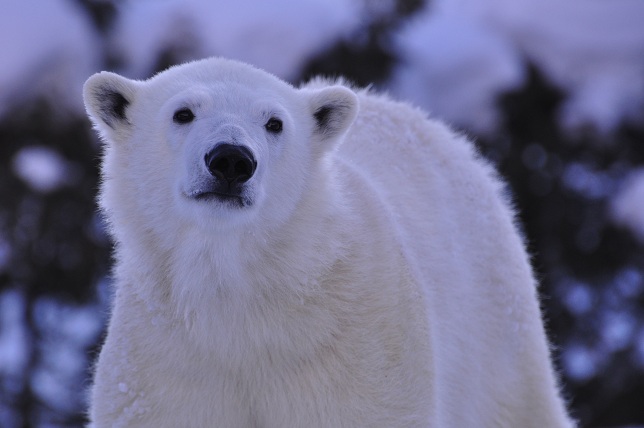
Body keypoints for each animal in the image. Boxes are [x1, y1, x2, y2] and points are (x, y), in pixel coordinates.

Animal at [82, 57, 572, 428]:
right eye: (183, 112)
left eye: (274, 122)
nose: (231, 160)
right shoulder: (167, 365)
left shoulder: (352, 355)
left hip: (496, 331)